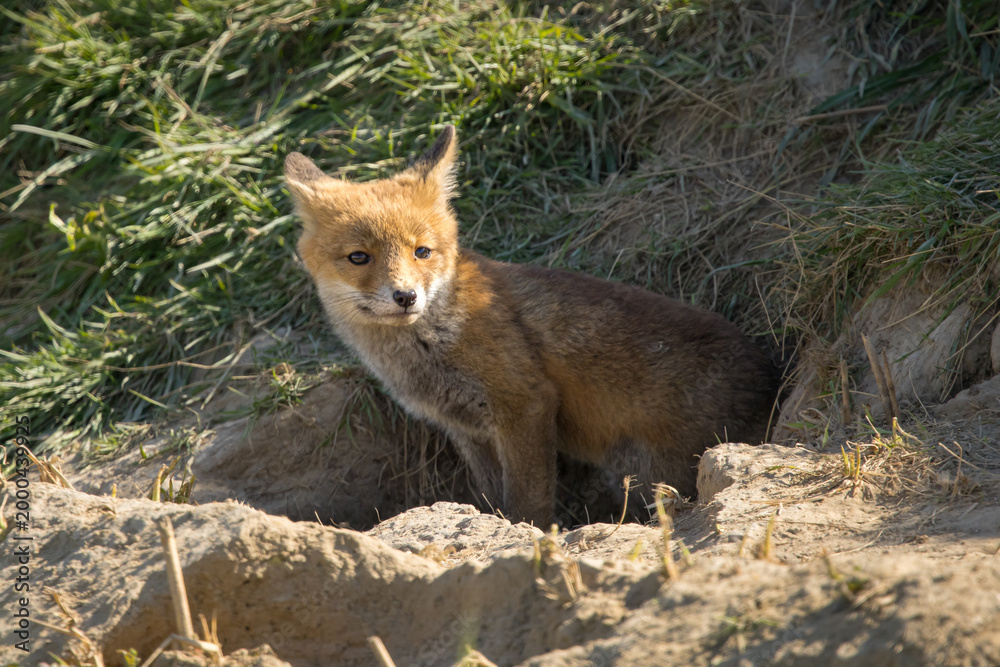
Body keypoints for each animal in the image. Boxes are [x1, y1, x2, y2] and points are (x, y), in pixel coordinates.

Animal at [284, 125, 780, 527]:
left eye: (421, 251)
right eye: (359, 257)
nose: (406, 296)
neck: (436, 342)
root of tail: (772, 375)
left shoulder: (525, 405)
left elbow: (527, 502)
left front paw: (527, 536)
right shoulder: (468, 429)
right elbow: (491, 499)